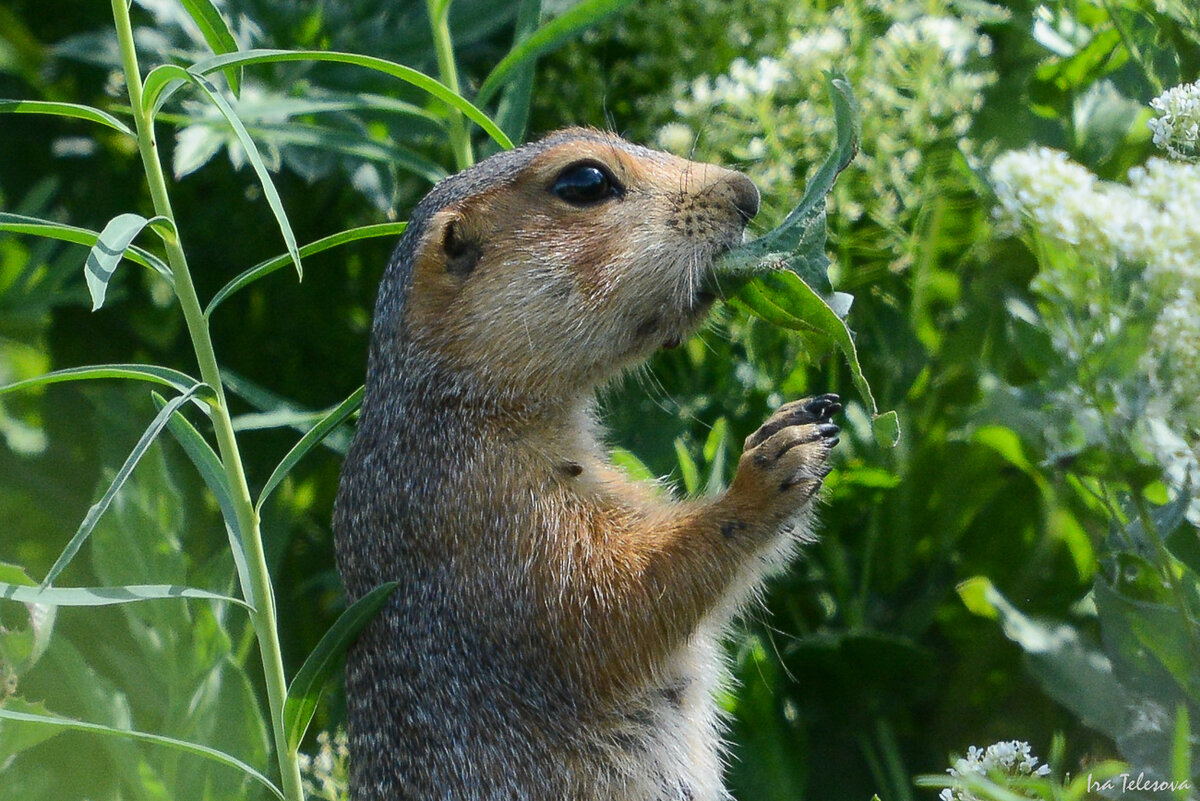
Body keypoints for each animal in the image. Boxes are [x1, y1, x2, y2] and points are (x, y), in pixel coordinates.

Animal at [336, 128, 844, 796]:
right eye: (586, 182)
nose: (748, 194)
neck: (458, 405)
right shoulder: (491, 511)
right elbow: (609, 602)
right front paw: (769, 467)